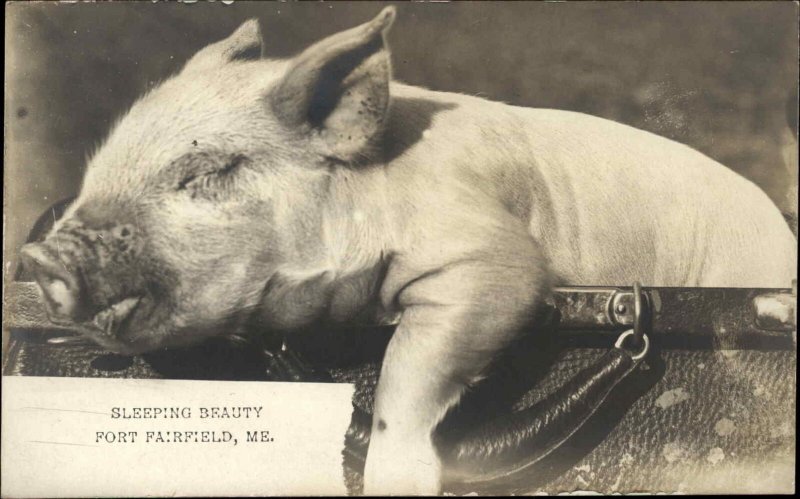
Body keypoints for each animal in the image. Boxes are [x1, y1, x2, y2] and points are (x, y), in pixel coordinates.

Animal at [20, 6, 800, 496]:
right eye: (98, 168)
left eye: (208, 171)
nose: (39, 258)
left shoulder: (490, 256)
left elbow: (410, 364)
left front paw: (400, 478)